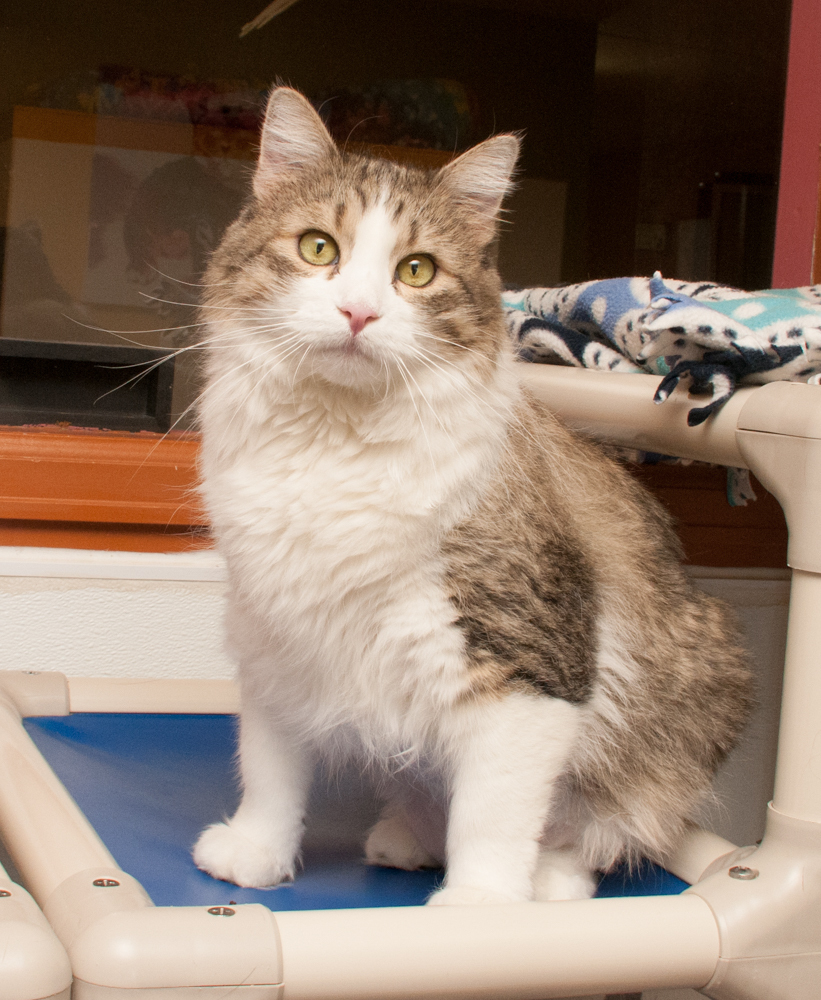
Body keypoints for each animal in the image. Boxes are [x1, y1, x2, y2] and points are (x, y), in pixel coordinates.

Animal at [191, 86, 748, 904]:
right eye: (319, 249)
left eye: (417, 271)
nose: (358, 313)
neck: (334, 443)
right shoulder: (273, 638)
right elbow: (269, 773)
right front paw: (255, 853)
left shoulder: (524, 672)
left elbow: (491, 819)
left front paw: (477, 910)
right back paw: (406, 838)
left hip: (697, 686)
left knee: (601, 832)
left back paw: (546, 881)